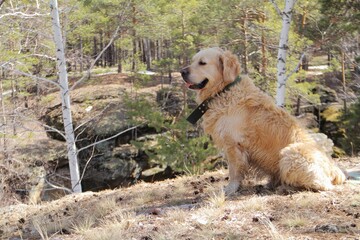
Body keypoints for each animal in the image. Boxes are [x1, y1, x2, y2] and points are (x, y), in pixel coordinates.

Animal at [181, 47, 348, 195]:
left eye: (202, 63)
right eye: (193, 61)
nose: (182, 71)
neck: (224, 91)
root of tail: (336, 170)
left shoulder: (233, 145)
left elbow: (234, 171)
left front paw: (230, 189)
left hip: (289, 154)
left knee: (322, 185)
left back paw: (286, 187)